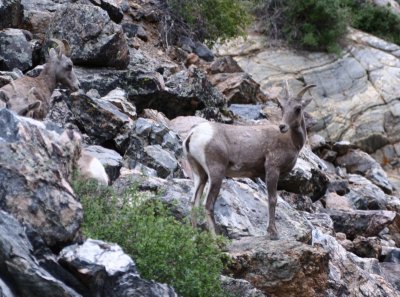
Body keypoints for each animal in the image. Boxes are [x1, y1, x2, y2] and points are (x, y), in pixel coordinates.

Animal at [183, 83, 318, 238]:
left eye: (297, 108)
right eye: (282, 107)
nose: (282, 126)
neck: (291, 142)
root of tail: (193, 134)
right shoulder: (272, 169)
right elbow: (272, 199)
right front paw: (272, 232)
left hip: (200, 175)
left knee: (194, 202)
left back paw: (193, 235)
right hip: (216, 173)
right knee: (208, 204)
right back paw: (215, 238)